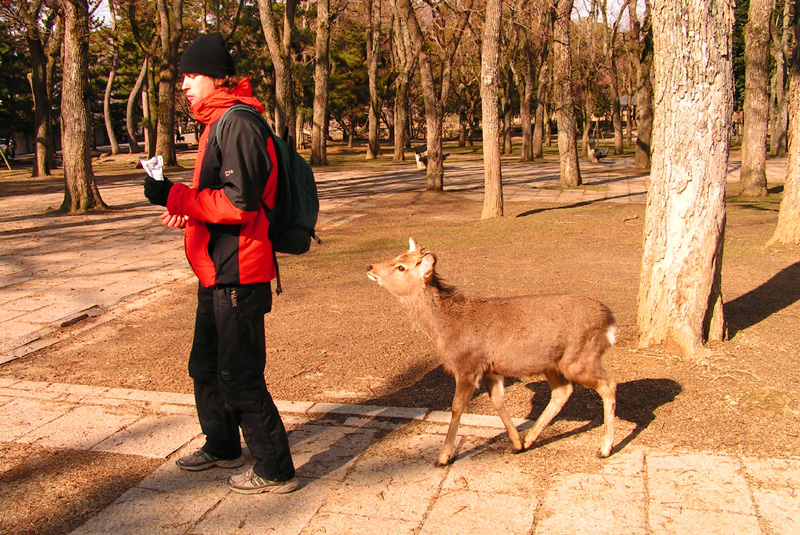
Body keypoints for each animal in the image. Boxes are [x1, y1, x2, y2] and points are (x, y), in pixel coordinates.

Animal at [368, 239, 620, 464]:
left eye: (401, 267)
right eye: (397, 256)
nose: (370, 267)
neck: (446, 329)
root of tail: (610, 322)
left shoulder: (467, 365)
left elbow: (456, 407)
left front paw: (443, 457)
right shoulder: (491, 369)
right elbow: (497, 401)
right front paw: (516, 443)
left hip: (580, 358)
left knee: (608, 384)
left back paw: (604, 449)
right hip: (553, 364)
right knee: (563, 391)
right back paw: (529, 440)